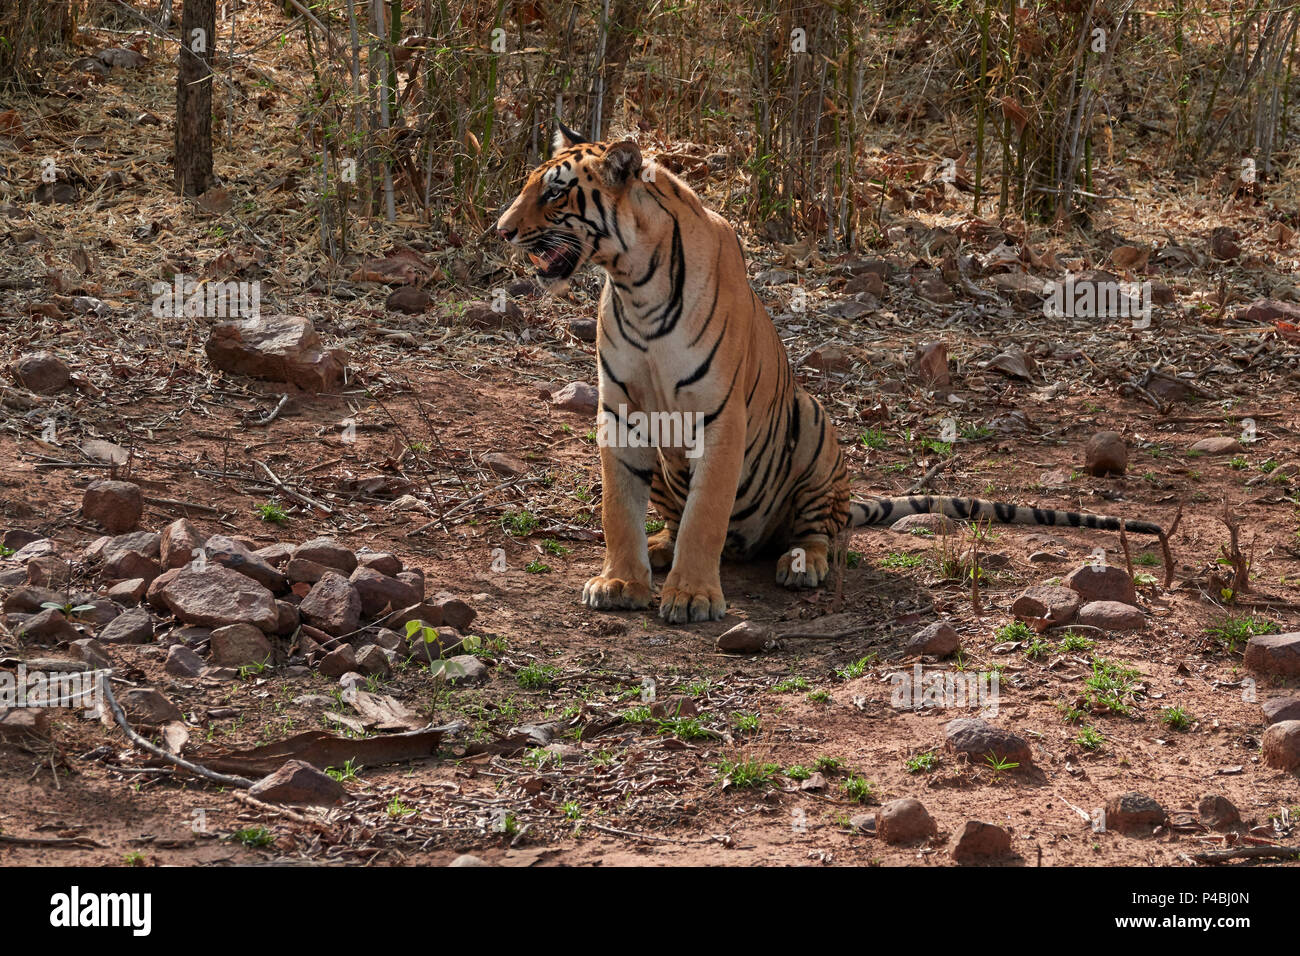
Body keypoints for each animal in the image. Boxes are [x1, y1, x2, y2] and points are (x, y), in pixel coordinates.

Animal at [491, 123, 1164, 624]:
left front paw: (692, 596)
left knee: (817, 531)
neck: (633, 280)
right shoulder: (622, 410)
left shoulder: (718, 416)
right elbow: (618, 509)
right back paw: (662, 548)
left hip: (814, 426)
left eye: (554, 195)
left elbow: (705, 515)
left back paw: (799, 563)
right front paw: (621, 583)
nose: (501, 231)